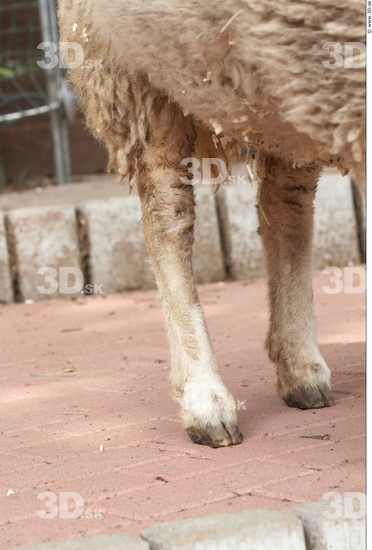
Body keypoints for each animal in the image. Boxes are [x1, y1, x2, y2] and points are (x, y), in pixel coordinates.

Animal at [57, 1, 364, 448]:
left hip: (288, 86)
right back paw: (207, 400)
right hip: (134, 70)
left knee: (286, 204)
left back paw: (302, 370)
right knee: (169, 216)